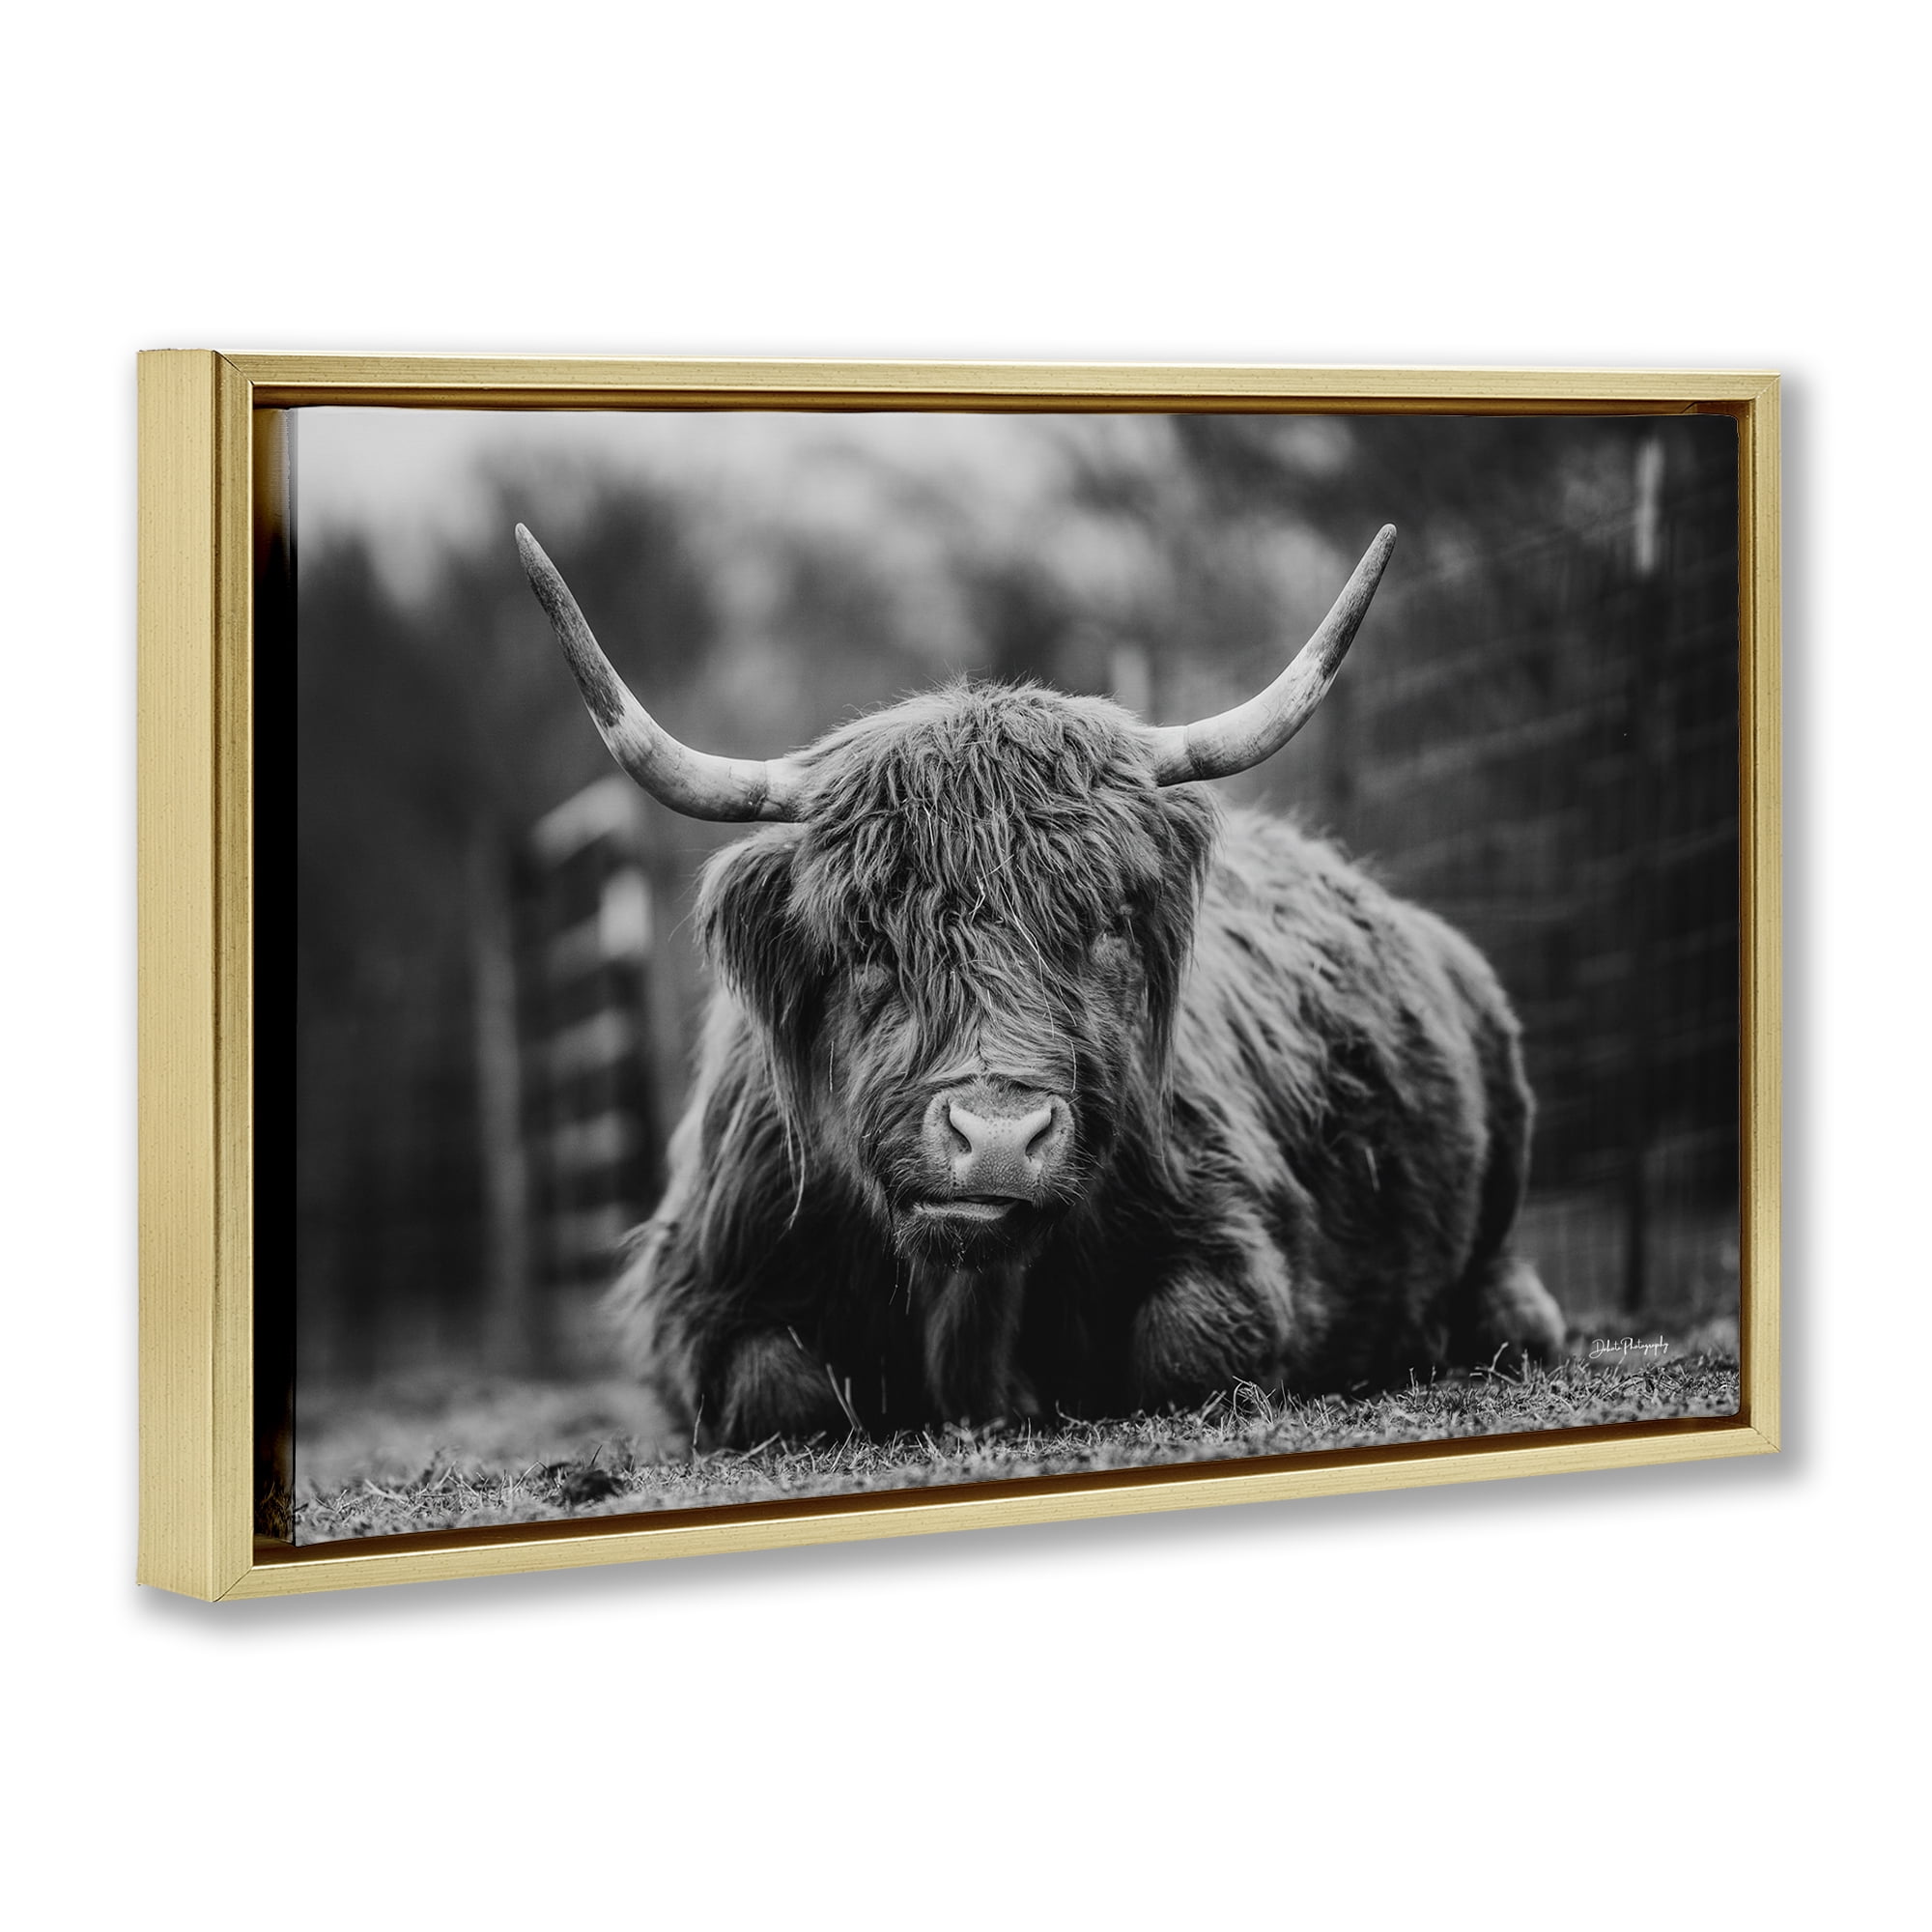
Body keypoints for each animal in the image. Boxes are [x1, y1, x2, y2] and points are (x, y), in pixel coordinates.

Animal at [516, 519, 1566, 1444]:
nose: (995, 1139)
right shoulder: (699, 1290)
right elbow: (777, 1388)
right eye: (867, 940)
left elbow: (1189, 1344)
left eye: (1101, 925)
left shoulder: (1232, 1238)